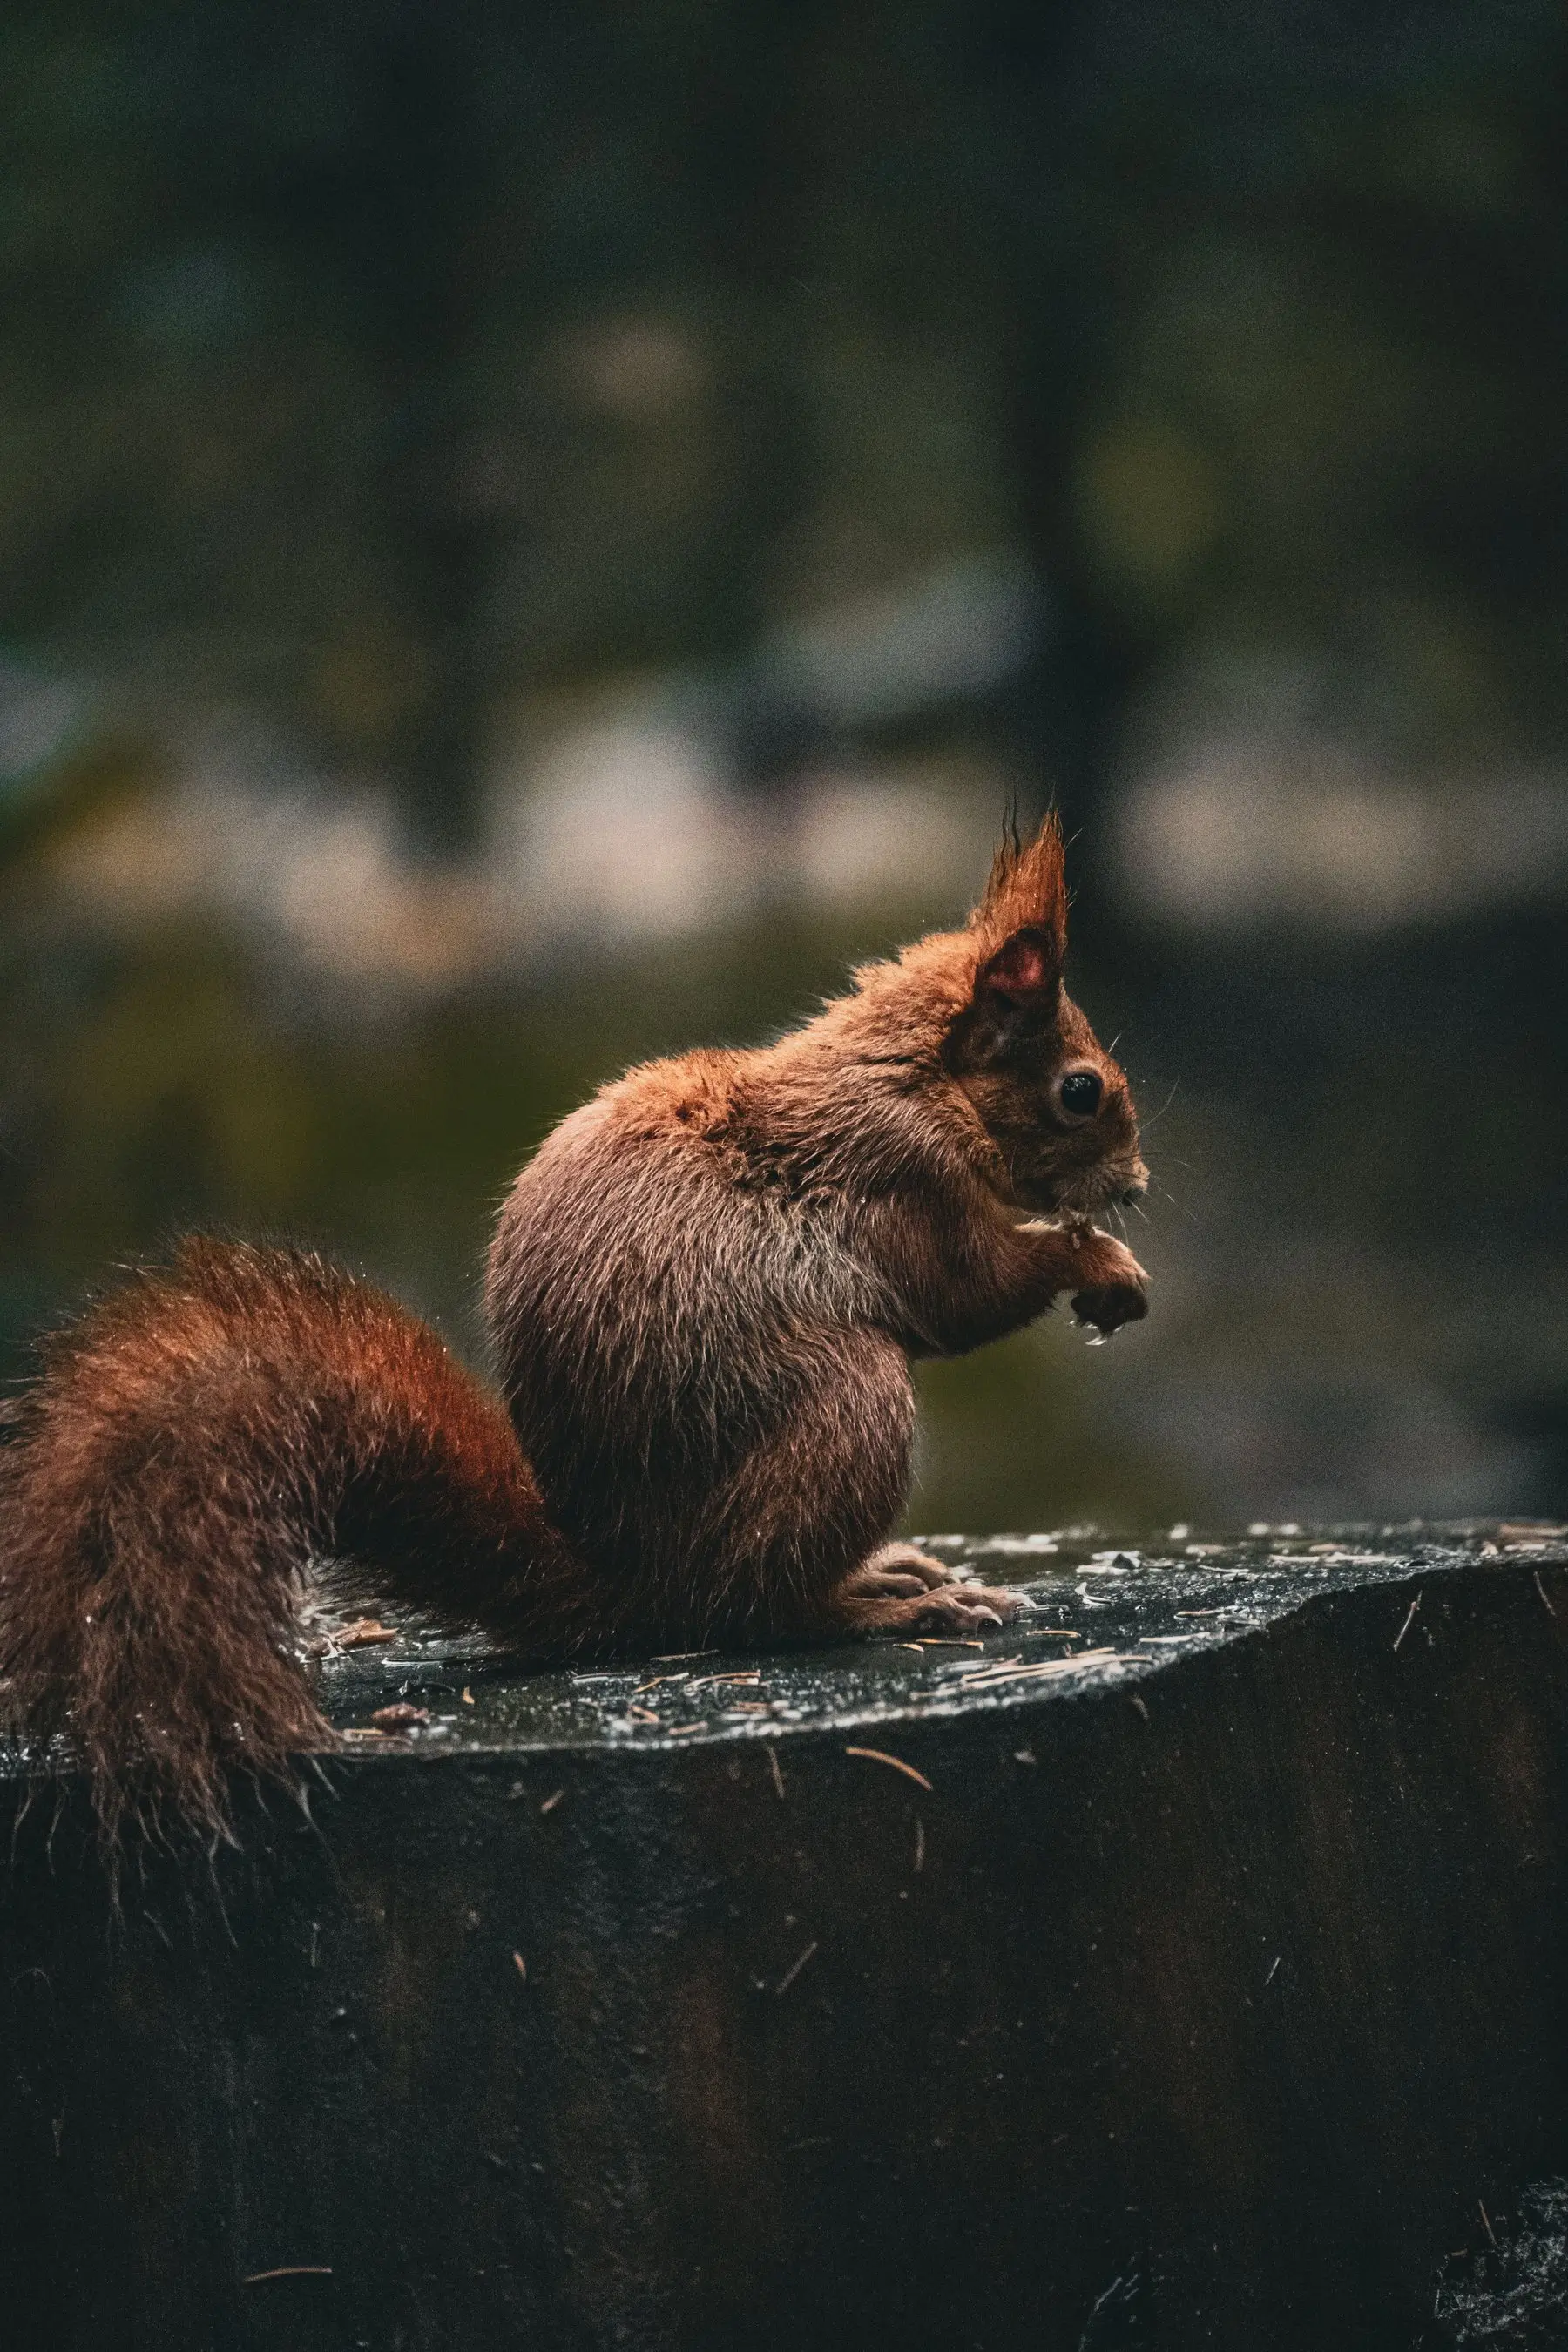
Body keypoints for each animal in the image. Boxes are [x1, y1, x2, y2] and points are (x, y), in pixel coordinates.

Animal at [0, 816, 1148, 1842]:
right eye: (1079, 1091)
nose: (1137, 1186)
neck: (908, 1074)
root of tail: (628, 1581)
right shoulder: (897, 1180)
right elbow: (965, 1293)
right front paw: (1097, 1264)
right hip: (847, 1409)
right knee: (751, 1609)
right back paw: (886, 1607)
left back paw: (886, 1574)